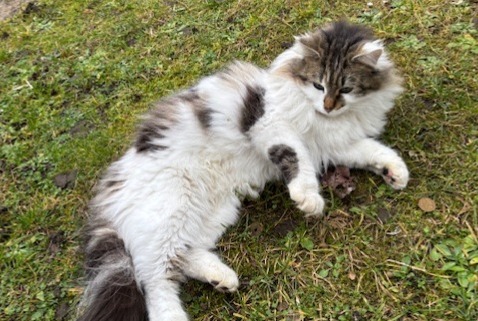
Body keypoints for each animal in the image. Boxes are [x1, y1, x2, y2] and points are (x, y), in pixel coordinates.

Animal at [77, 20, 408, 320]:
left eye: (347, 89)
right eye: (318, 85)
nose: (328, 106)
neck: (325, 119)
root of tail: (111, 186)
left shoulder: (334, 145)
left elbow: (371, 150)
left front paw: (395, 172)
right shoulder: (270, 124)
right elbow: (296, 156)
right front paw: (308, 199)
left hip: (213, 211)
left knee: (182, 256)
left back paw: (221, 278)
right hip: (172, 208)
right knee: (154, 277)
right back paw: (175, 312)